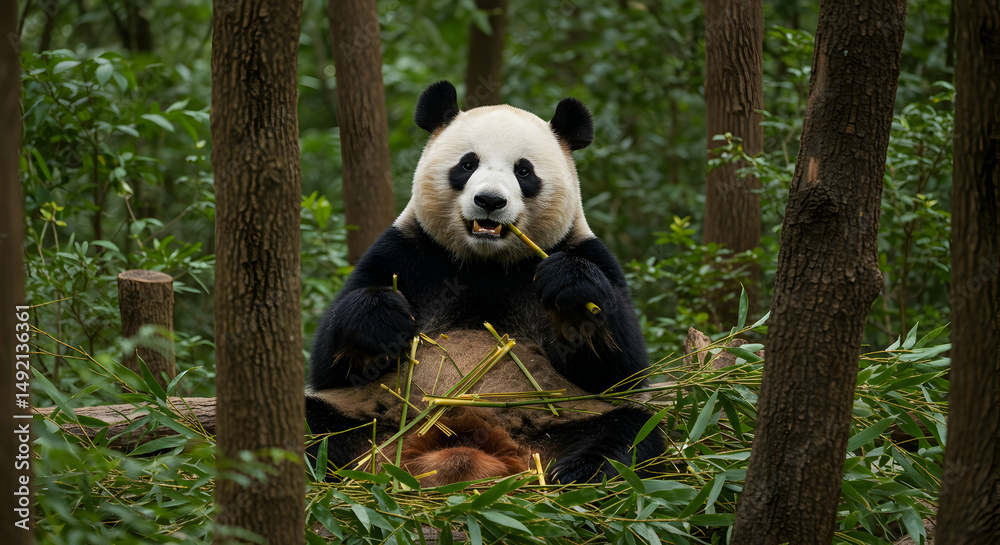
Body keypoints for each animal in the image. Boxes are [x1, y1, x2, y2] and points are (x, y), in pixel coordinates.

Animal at [306, 80, 664, 485]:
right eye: (467, 164)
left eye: (524, 171)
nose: (490, 201)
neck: (487, 262)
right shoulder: (407, 252)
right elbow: (332, 364)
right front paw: (383, 319)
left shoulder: (585, 251)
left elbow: (621, 370)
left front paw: (571, 288)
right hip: (364, 420)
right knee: (314, 429)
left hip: (567, 423)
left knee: (630, 432)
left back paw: (574, 472)